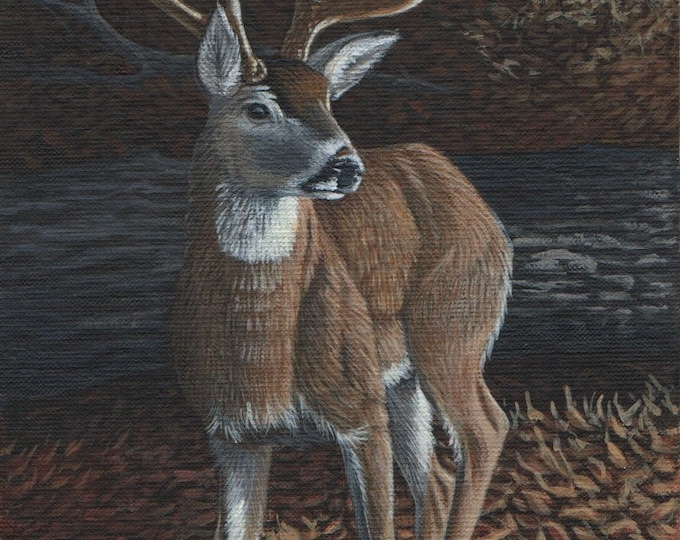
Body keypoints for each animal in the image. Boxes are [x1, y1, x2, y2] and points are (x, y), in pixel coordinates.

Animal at [160, 0, 513, 538]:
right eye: (258, 108)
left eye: (328, 100)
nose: (346, 166)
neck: (261, 361)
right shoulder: (230, 434)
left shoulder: (361, 412)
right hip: (403, 377)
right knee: (437, 478)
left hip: (451, 326)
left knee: (485, 431)